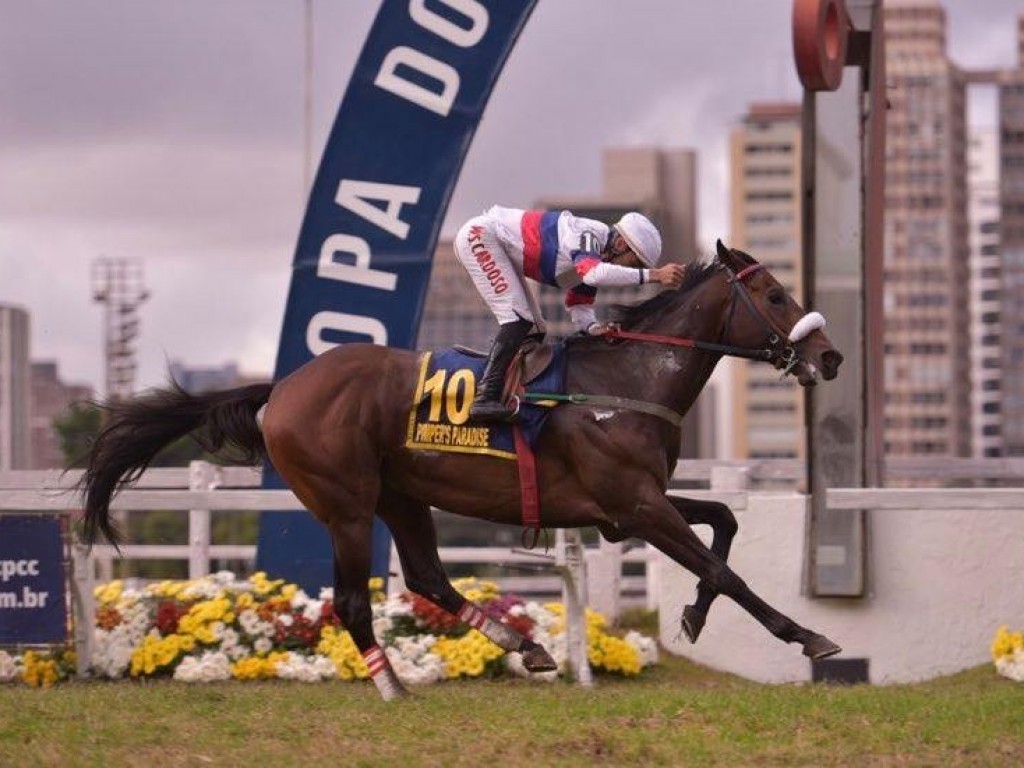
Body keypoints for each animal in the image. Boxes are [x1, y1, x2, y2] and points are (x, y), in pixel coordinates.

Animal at [79, 241, 843, 704]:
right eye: (775, 295)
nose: (830, 358)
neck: (625, 379)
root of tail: (282, 389)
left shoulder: (630, 503)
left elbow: (726, 522)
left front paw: (690, 615)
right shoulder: (634, 503)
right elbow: (722, 568)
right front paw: (806, 637)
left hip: (403, 495)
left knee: (426, 578)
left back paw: (523, 646)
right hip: (347, 502)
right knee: (353, 600)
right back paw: (392, 687)